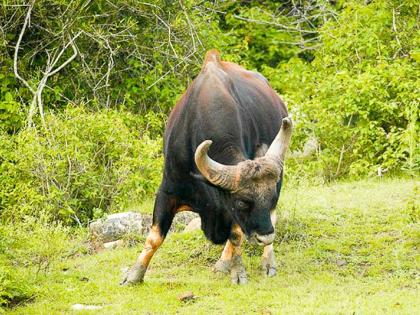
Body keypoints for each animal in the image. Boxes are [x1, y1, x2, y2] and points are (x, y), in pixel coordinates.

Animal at [121, 50, 292, 286]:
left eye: (271, 197)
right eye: (242, 202)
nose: (265, 236)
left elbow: (236, 235)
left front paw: (238, 272)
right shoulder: (168, 191)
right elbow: (155, 236)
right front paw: (134, 274)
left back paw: (264, 262)